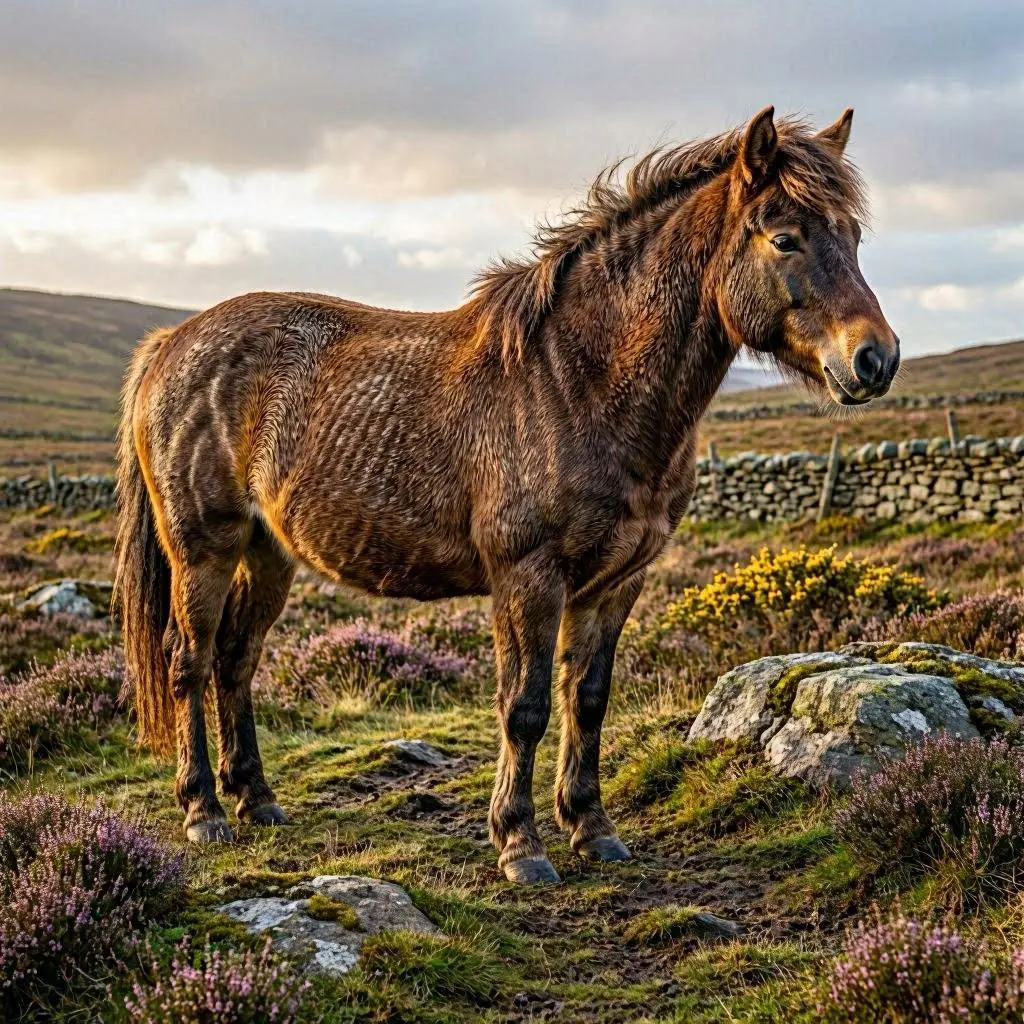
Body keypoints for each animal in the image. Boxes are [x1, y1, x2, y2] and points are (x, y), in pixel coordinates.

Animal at [114, 106, 899, 884]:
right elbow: (523, 706)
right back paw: (204, 811)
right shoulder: (528, 576)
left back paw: (256, 799)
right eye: (785, 238)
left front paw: (592, 827)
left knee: (236, 660)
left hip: (269, 553)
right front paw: (520, 843)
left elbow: (587, 699)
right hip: (203, 550)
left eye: (855, 237)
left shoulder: (616, 582)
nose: (876, 359)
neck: (579, 381)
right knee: (190, 662)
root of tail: (171, 341)